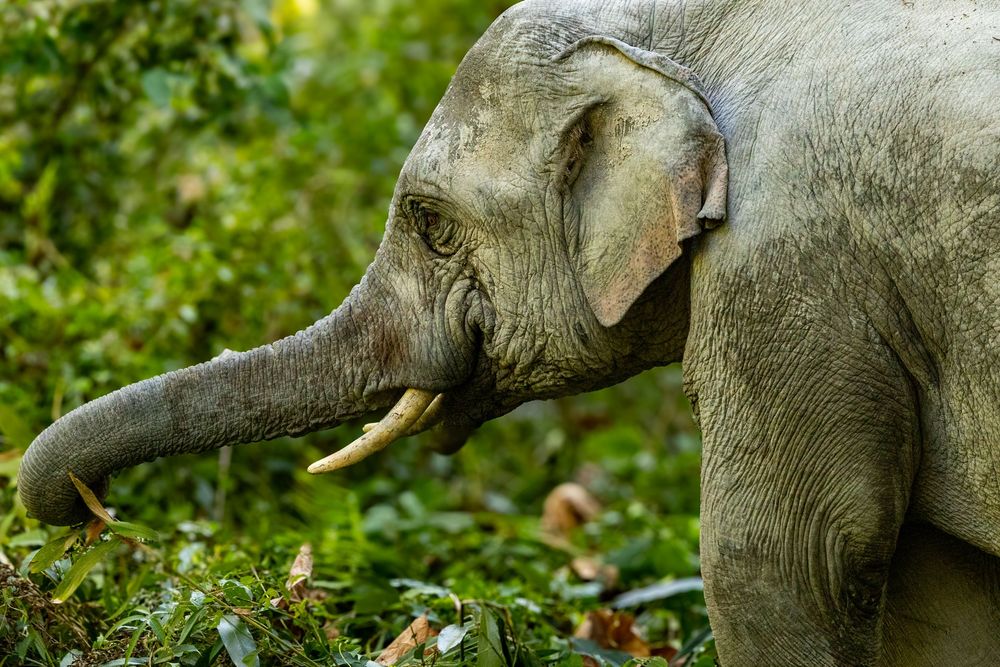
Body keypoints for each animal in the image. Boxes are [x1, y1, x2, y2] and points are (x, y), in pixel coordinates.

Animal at [18, 0, 1000, 664]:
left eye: (430, 222)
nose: (88, 513)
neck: (685, 29)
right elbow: (938, 586)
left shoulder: (789, 265)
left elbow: (784, 558)